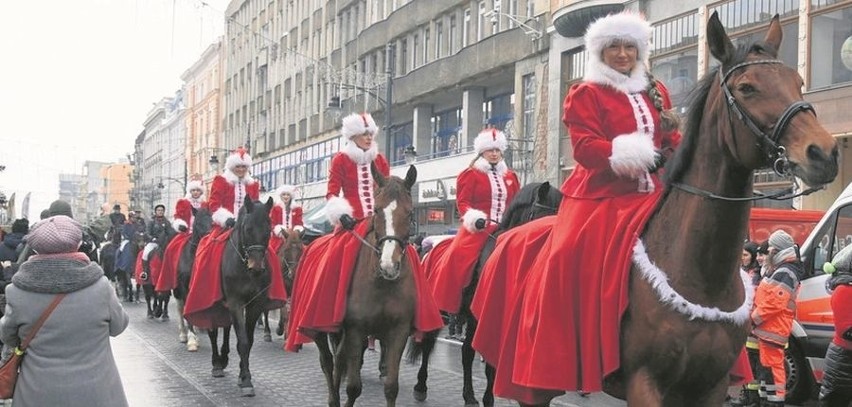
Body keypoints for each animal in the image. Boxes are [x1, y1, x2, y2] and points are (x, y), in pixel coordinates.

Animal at [207, 196, 276, 396]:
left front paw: (243, 374)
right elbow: (243, 341)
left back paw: (224, 357)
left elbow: (248, 339)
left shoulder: (256, 303)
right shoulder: (235, 302)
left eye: (268, 229)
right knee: (213, 331)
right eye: (248, 229)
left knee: (226, 328)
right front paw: (246, 381)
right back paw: (217, 363)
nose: (257, 267)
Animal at [314, 166, 418, 407]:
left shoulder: (398, 332)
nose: (389, 265)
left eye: (410, 213)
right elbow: (353, 387)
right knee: (327, 361)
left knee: (338, 360)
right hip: (321, 329)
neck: (382, 284)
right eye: (377, 211)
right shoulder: (356, 330)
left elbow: (391, 387)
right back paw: (332, 398)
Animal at [410, 182, 564, 407]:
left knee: (465, 350)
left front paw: (487, 398)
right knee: (430, 343)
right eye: (543, 217)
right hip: (440, 310)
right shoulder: (485, 315)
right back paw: (421, 386)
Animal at [600, 11, 840, 404]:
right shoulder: (643, 383)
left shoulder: (709, 385)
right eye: (747, 88)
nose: (824, 153)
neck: (702, 277)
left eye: (799, 81)